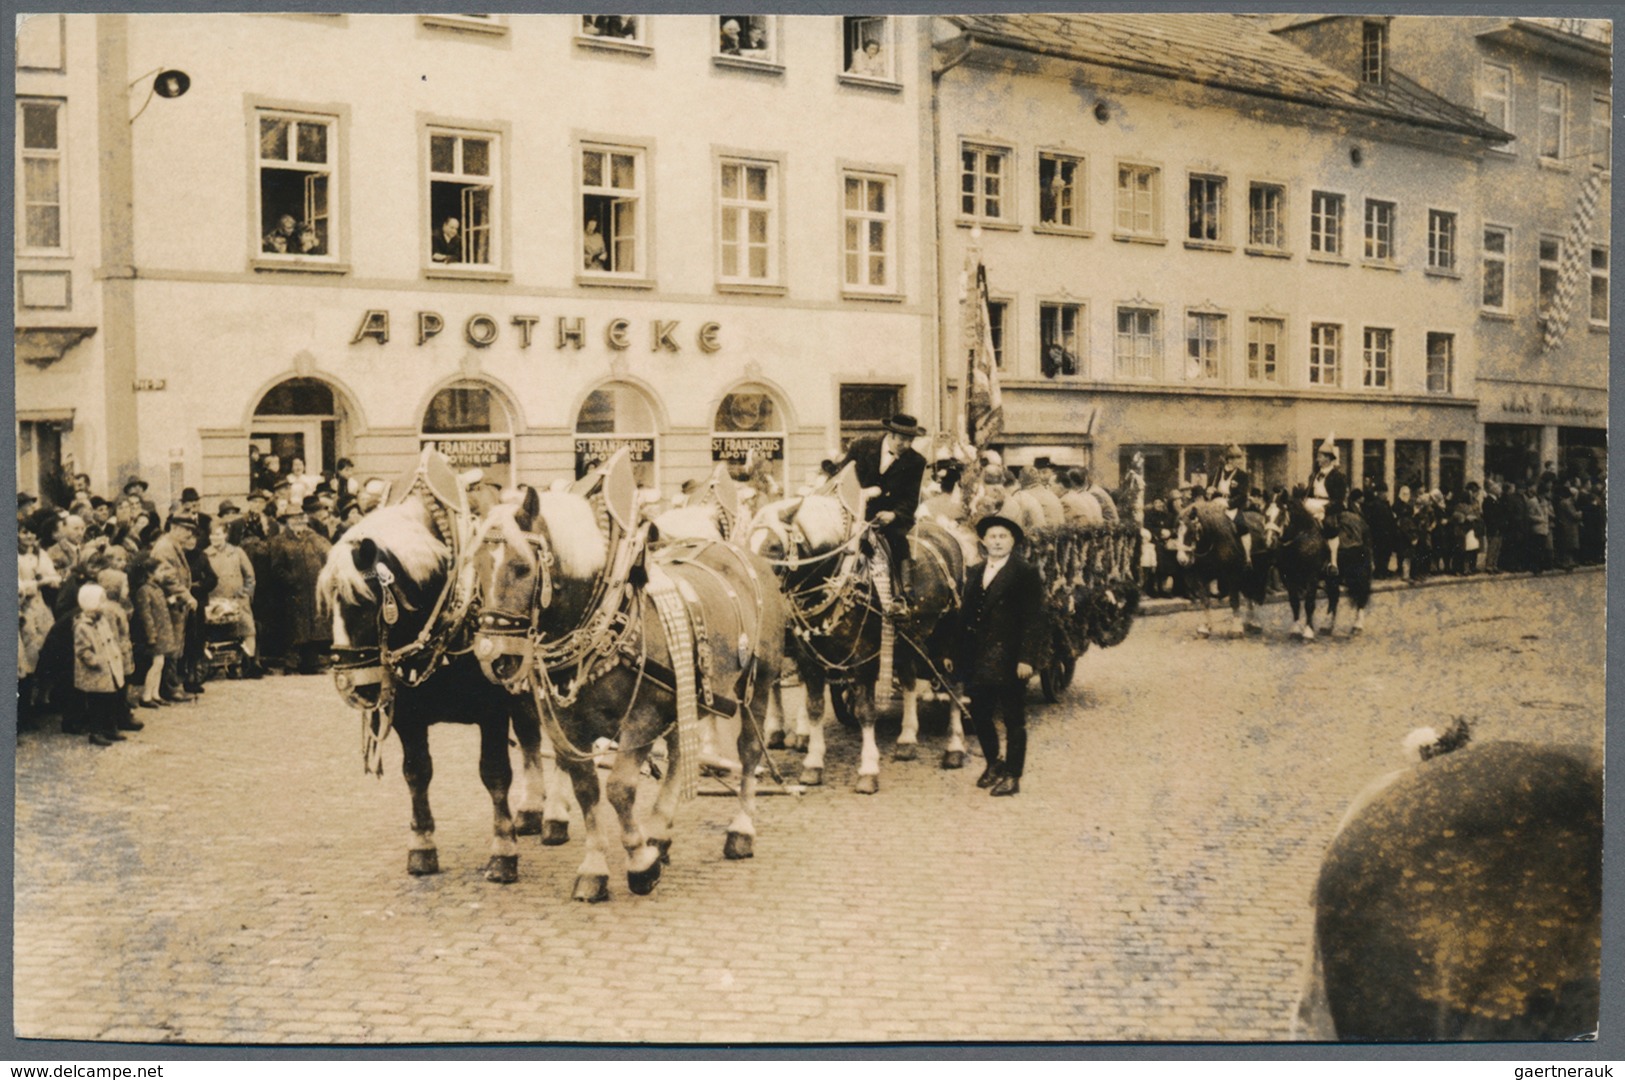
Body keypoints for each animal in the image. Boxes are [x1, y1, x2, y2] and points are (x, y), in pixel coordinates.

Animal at [315, 467, 572, 883]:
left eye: (364, 603)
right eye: (326, 604)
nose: (351, 687)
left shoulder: (492, 709)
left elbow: (495, 774)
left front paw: (503, 851)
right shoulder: (407, 715)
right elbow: (416, 772)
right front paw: (422, 845)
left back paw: (556, 817)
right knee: (532, 739)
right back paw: (532, 810)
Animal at [471, 457, 786, 896]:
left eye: (520, 567)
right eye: (477, 567)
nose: (494, 656)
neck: (612, 614)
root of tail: (741, 551)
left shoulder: (644, 717)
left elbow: (620, 788)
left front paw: (639, 863)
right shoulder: (567, 724)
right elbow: (587, 790)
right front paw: (595, 867)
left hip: (758, 684)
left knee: (748, 750)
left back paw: (740, 830)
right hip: (685, 693)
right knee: (679, 753)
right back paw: (661, 833)